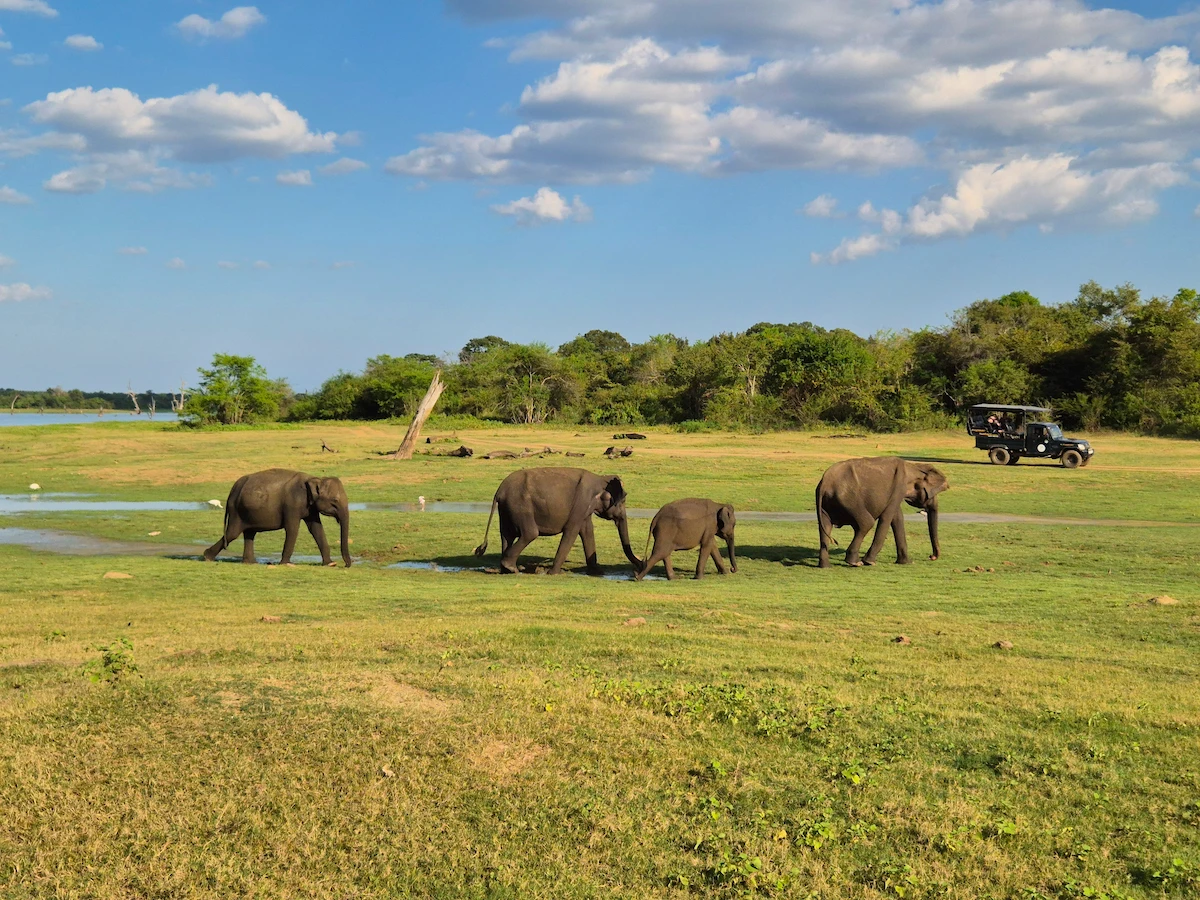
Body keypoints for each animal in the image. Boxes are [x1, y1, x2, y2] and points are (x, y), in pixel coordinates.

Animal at [203, 469, 352, 567]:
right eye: (335, 501)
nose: (346, 565)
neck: (316, 478)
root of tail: (232, 490)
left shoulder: (310, 507)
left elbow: (316, 528)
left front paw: (330, 564)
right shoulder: (292, 503)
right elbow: (292, 529)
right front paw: (286, 564)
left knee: (249, 533)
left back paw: (250, 562)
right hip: (237, 510)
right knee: (233, 533)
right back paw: (207, 557)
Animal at [474, 467, 642, 575]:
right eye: (622, 501)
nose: (641, 564)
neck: (601, 479)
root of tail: (498, 492)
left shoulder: (585, 508)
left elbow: (587, 530)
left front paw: (598, 572)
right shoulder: (582, 502)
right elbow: (572, 531)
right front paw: (553, 573)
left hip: (506, 510)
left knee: (507, 535)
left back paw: (507, 569)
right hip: (520, 506)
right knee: (530, 533)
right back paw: (512, 568)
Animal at [816, 457, 948, 568]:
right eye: (933, 494)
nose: (931, 557)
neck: (913, 467)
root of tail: (825, 483)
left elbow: (897, 518)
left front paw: (907, 562)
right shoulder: (898, 487)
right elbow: (887, 517)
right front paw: (869, 562)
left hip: (826, 503)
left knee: (825, 527)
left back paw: (825, 566)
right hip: (848, 500)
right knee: (867, 523)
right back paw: (855, 563)